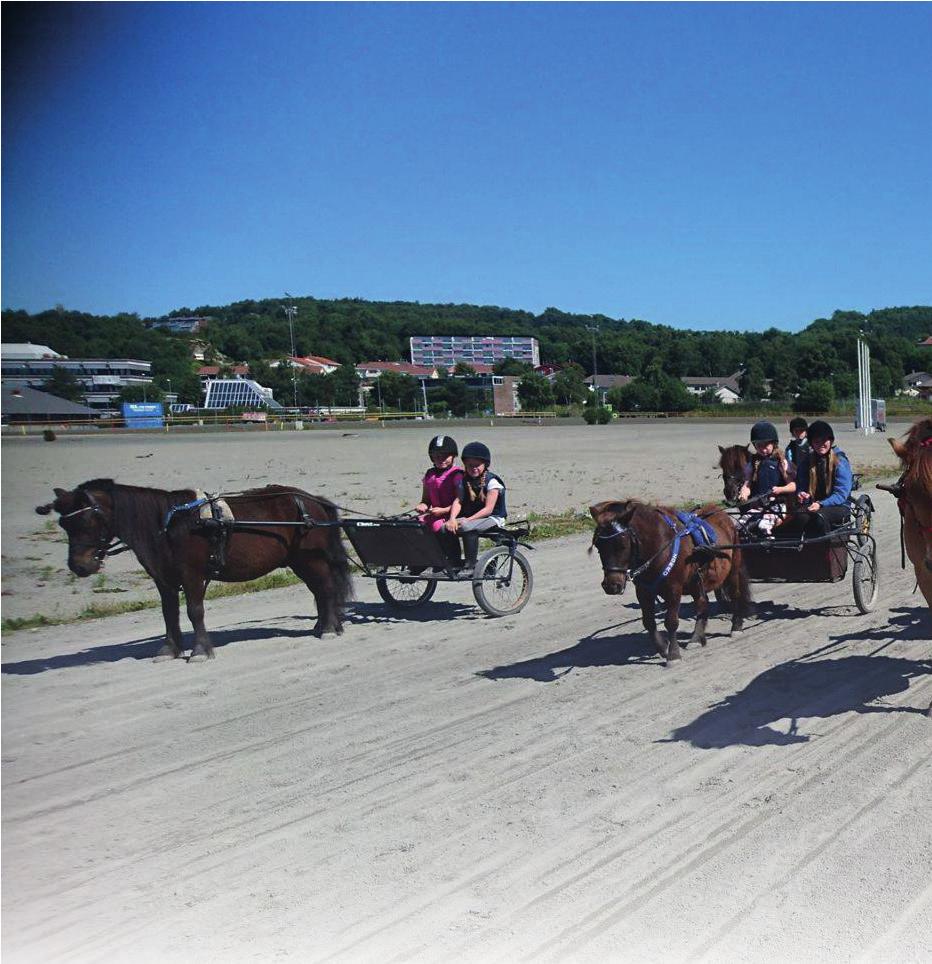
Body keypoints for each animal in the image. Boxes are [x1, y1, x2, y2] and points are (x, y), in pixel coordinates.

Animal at [34, 482, 352, 664]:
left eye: (88, 520)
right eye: (64, 524)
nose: (79, 566)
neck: (171, 524)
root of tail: (310, 499)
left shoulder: (192, 575)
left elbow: (194, 611)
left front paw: (200, 651)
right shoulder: (163, 580)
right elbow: (169, 613)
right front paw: (170, 649)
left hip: (309, 559)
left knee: (325, 587)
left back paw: (328, 628)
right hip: (300, 561)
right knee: (320, 591)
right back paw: (326, 625)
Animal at [592, 498, 752, 664]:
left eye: (622, 545)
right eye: (598, 545)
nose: (611, 585)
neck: (660, 545)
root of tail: (724, 516)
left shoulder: (673, 588)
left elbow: (671, 621)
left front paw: (673, 654)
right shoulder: (643, 591)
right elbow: (648, 622)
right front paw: (663, 647)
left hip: (732, 570)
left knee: (735, 594)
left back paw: (736, 626)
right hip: (696, 582)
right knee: (702, 604)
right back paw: (696, 638)